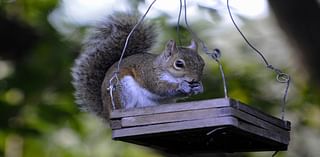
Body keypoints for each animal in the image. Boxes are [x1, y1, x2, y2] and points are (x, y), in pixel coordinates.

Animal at [71, 12, 204, 120]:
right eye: (179, 64)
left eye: (202, 63)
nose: (195, 79)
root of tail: (107, 113)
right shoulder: (149, 74)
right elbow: (160, 88)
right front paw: (182, 86)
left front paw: (199, 87)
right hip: (122, 88)